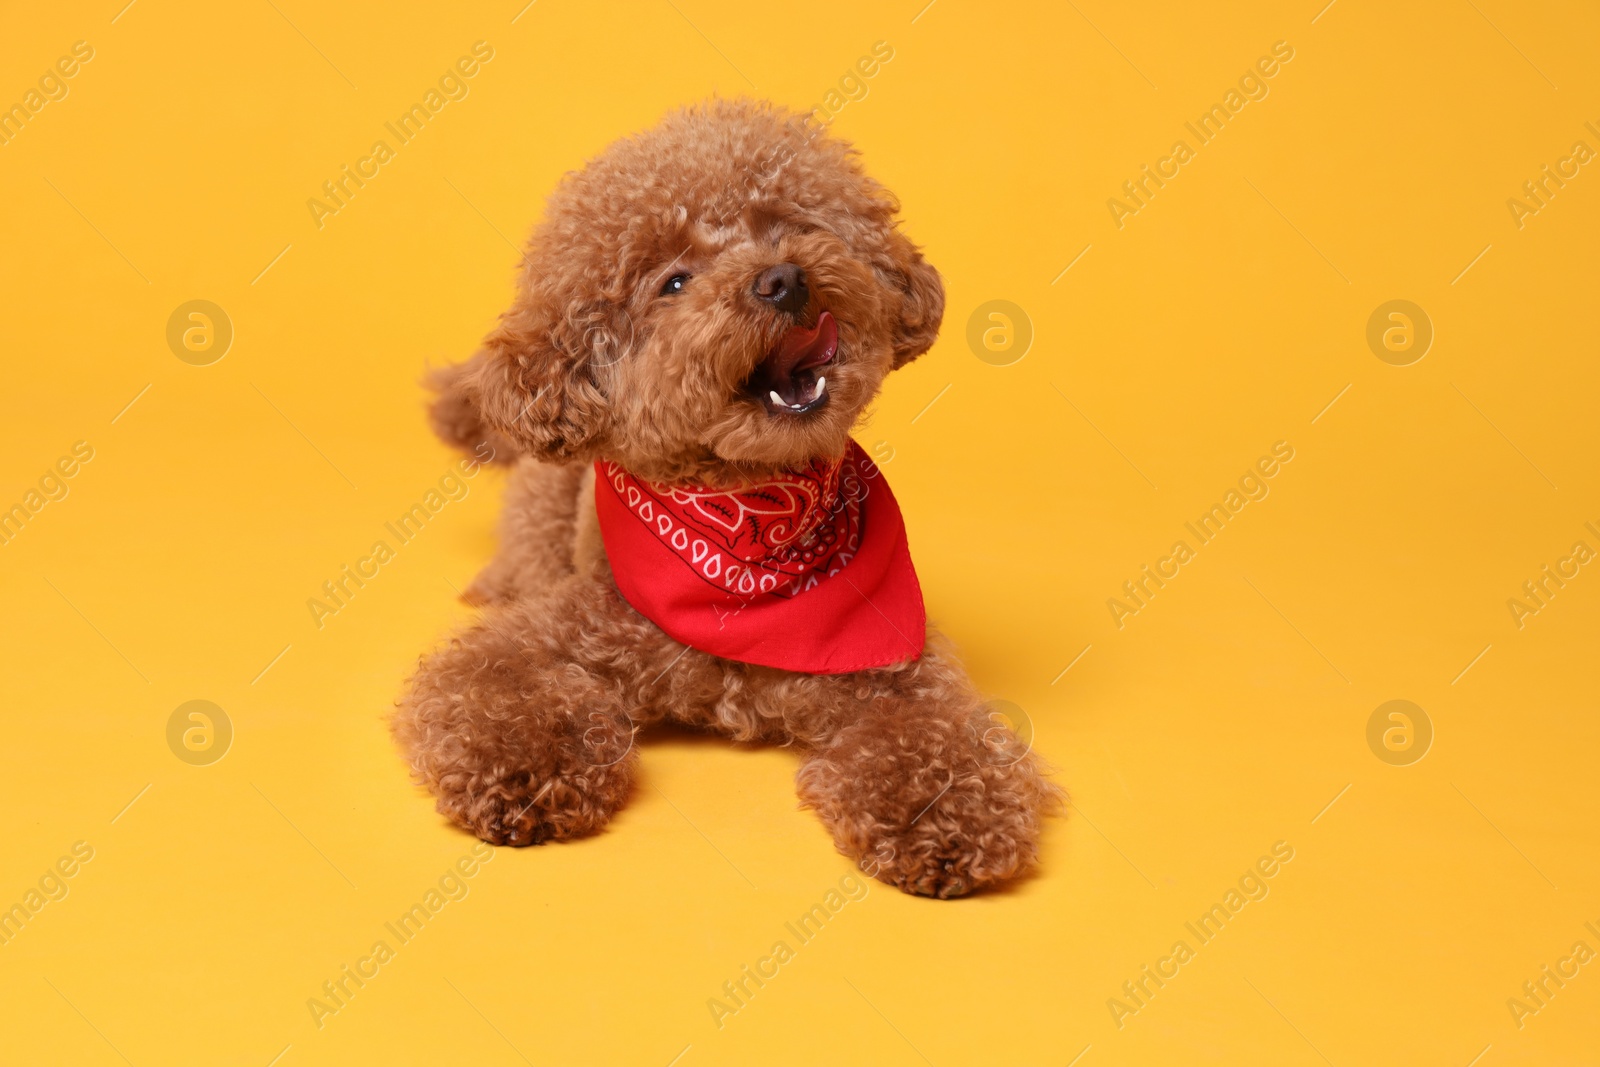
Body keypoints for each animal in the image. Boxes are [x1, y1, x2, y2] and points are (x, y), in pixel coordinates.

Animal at [392, 102, 1056, 902]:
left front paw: (949, 814)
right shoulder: (539, 641)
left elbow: (935, 737)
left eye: (786, 224)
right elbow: (492, 685)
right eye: (674, 282)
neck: (748, 522)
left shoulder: (901, 674)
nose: (783, 278)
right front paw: (525, 771)